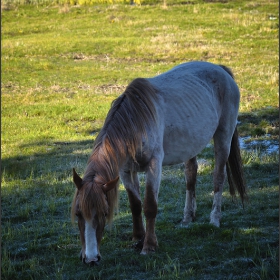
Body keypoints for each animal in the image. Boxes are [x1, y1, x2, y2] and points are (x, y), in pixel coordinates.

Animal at [71, 60, 246, 264]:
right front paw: (138, 238)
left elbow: (149, 206)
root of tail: (221, 69)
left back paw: (214, 219)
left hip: (223, 137)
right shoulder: (126, 171)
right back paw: (187, 218)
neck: (135, 124)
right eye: (78, 213)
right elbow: (135, 204)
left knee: (218, 177)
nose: (90, 259)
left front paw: (149, 246)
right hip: (190, 144)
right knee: (190, 176)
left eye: (104, 214)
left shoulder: (154, 166)